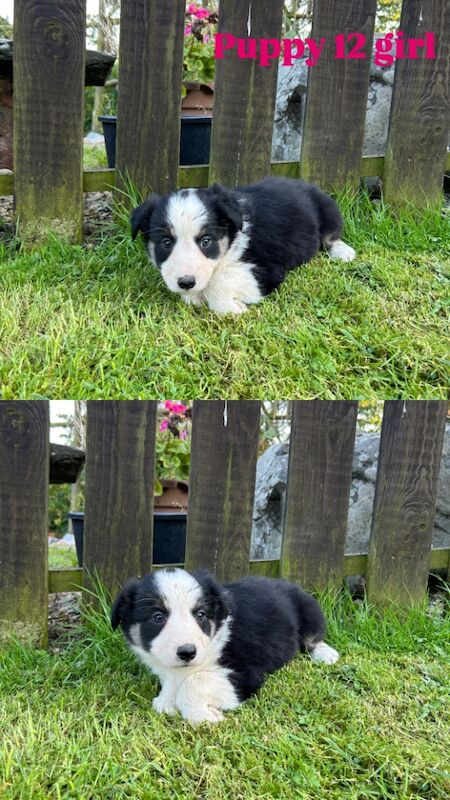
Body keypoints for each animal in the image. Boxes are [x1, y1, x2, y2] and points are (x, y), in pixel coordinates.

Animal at [111, 568, 338, 724]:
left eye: (200, 615)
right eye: (157, 617)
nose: (187, 652)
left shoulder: (247, 675)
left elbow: (195, 681)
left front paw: (203, 716)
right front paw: (166, 701)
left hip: (310, 609)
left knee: (313, 637)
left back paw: (326, 654)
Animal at [129, 177, 356, 314]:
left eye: (206, 241)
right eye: (166, 243)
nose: (186, 282)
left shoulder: (268, 270)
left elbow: (218, 281)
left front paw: (231, 308)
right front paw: (194, 296)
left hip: (329, 208)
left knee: (331, 236)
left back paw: (344, 252)